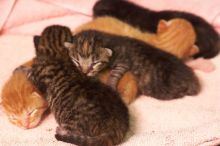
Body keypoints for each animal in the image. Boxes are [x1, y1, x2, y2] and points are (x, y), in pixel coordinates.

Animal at [64, 30, 200, 100]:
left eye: (95, 63)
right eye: (76, 61)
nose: (85, 72)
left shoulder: (123, 62)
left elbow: (114, 74)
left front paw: (110, 85)